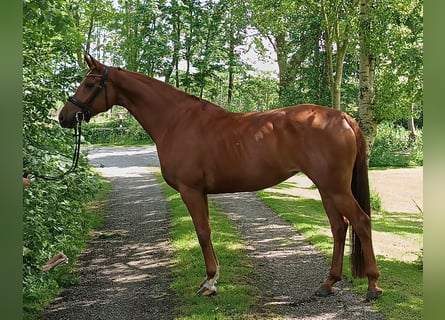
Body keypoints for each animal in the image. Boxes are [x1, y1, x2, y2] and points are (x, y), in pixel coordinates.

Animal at [58, 55, 382, 300]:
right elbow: (207, 232)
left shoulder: (190, 190)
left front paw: (210, 283)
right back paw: (328, 283)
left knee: (361, 221)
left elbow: (202, 232)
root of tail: (343, 118)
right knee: (339, 227)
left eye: (89, 84)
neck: (176, 121)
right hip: (326, 188)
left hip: (335, 188)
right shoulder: (198, 192)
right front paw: (211, 280)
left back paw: (373, 286)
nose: (63, 117)